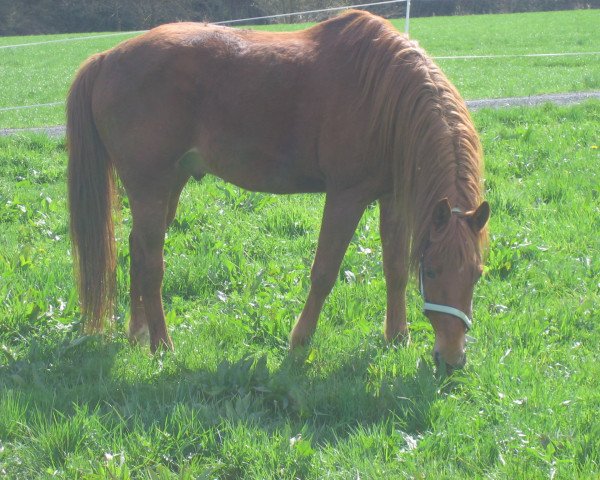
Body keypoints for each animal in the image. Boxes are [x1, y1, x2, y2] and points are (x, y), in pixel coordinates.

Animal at [67, 10, 488, 372]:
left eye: (477, 273)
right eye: (432, 272)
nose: (453, 359)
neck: (385, 95)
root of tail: (106, 58)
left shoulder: (393, 197)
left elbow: (395, 268)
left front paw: (397, 338)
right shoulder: (346, 196)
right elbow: (325, 271)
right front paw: (300, 341)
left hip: (169, 185)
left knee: (138, 249)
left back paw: (137, 334)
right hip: (150, 187)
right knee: (153, 263)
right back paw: (162, 345)